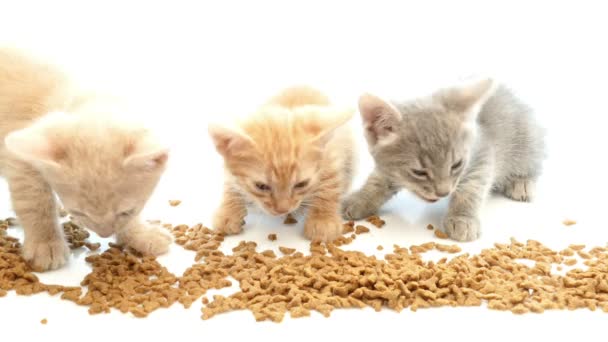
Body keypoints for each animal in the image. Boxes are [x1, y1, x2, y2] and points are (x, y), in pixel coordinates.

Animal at [0, 48, 171, 272]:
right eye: (78, 212)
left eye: (127, 211)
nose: (105, 233)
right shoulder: (18, 158)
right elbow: (34, 201)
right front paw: (46, 243)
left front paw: (141, 235)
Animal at [208, 85, 354, 242]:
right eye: (261, 186)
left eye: (301, 184)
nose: (283, 209)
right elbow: (230, 186)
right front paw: (227, 213)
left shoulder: (332, 155)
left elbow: (329, 186)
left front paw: (323, 220)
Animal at [342, 79, 548, 242]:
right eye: (419, 172)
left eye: (456, 165)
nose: (443, 192)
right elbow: (378, 181)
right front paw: (359, 199)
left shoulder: (482, 155)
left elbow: (471, 187)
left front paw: (462, 219)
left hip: (528, 141)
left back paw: (521, 183)